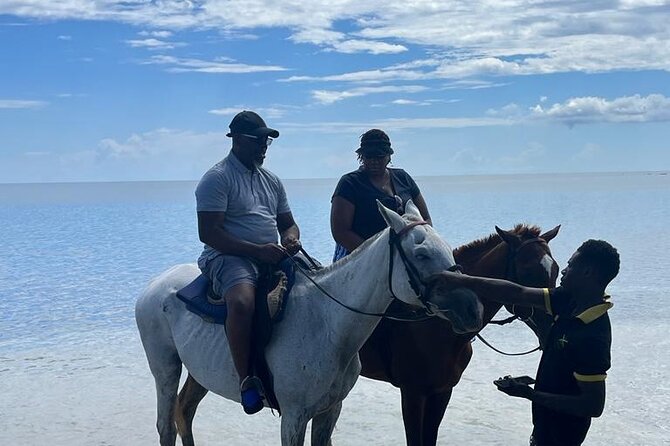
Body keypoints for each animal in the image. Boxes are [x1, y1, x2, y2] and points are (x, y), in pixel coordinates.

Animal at [136, 202, 484, 446]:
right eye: (421, 254)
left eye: (447, 248)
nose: (473, 308)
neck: (328, 323)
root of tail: (155, 284)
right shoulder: (293, 417)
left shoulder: (330, 411)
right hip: (165, 368)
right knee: (165, 425)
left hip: (199, 372)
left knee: (184, 412)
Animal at [171, 225, 560, 444]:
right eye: (529, 270)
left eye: (554, 269)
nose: (556, 321)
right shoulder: (414, 392)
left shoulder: (442, 392)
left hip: (200, 371)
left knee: (183, 409)